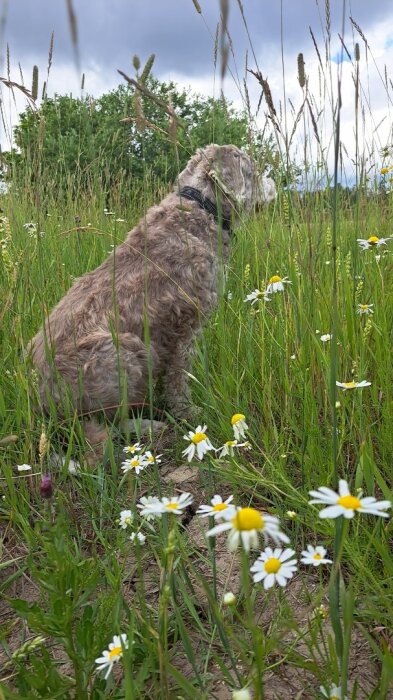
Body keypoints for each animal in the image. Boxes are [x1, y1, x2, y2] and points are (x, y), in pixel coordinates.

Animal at [29, 145, 276, 462]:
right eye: (253, 171)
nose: (274, 185)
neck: (200, 206)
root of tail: (48, 405)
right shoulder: (185, 327)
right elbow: (178, 379)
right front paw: (188, 412)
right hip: (125, 351)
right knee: (106, 427)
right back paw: (148, 426)